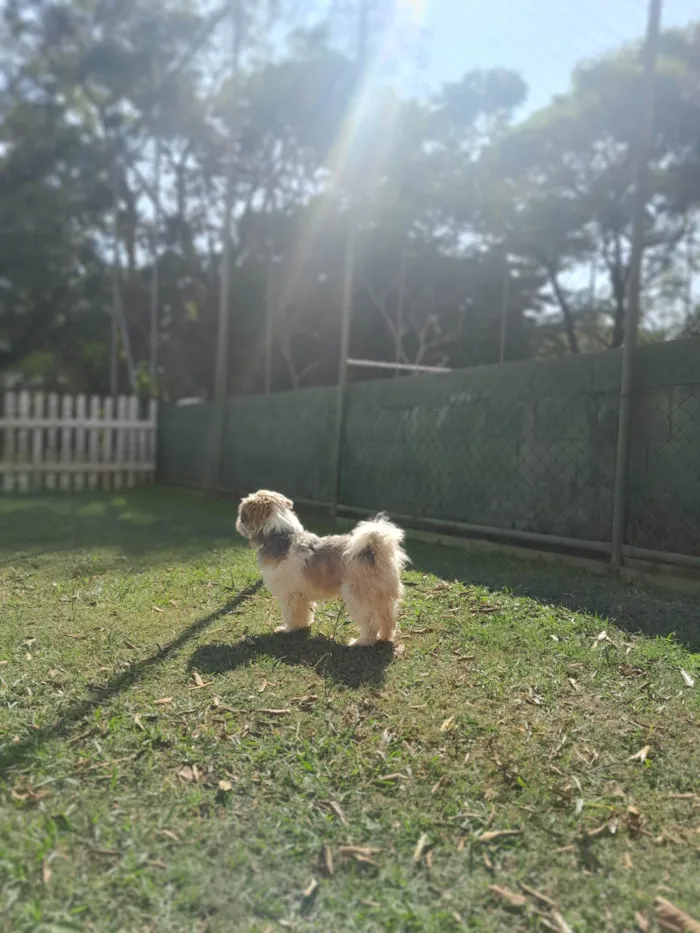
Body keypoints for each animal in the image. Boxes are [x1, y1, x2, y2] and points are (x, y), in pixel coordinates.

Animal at [238, 488, 408, 648]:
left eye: (242, 515)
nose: (238, 523)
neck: (281, 535)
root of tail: (372, 551)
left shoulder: (290, 594)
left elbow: (291, 614)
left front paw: (288, 629)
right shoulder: (301, 595)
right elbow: (304, 612)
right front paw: (302, 626)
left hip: (358, 598)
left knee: (370, 623)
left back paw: (361, 642)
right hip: (382, 597)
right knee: (388, 619)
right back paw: (385, 637)